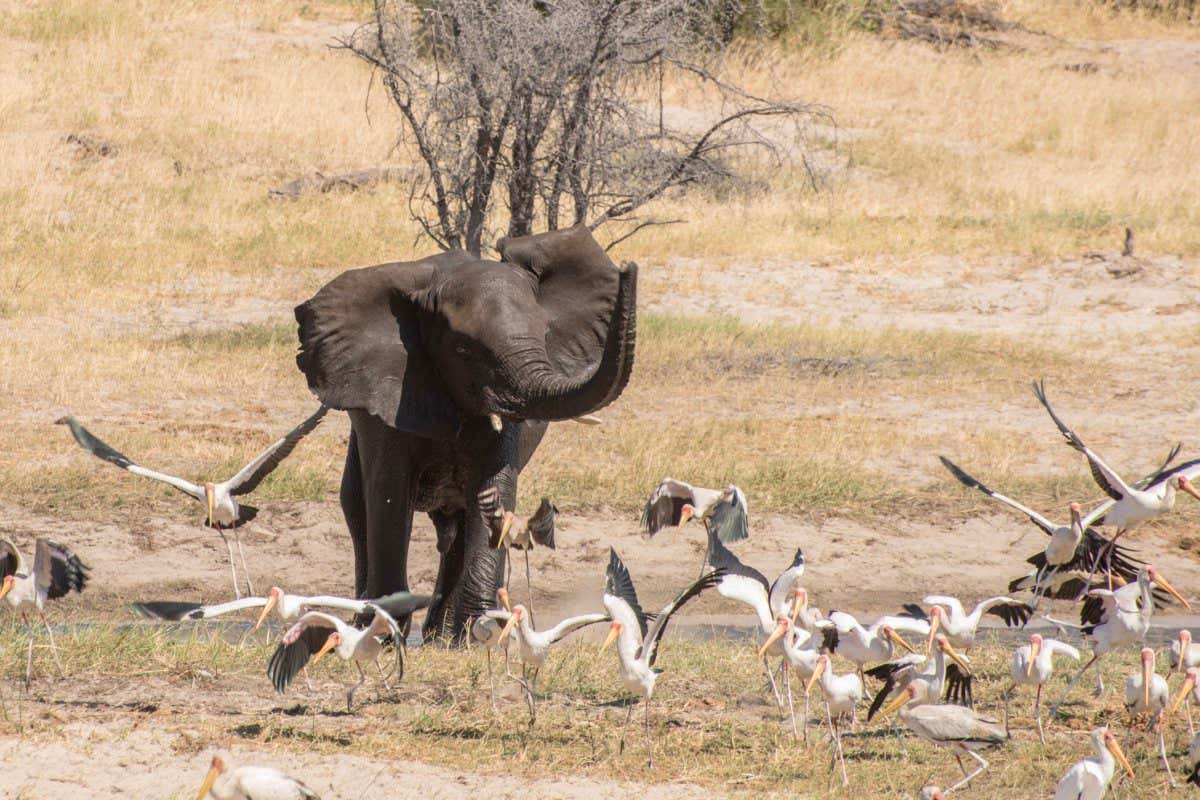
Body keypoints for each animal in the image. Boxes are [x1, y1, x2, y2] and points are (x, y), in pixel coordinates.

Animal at [294, 225, 637, 642]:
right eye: (463, 351)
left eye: (545, 334)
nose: (629, 267)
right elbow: (388, 493)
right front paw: (384, 635)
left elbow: (493, 484)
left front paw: (475, 635)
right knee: (357, 506)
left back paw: (442, 636)